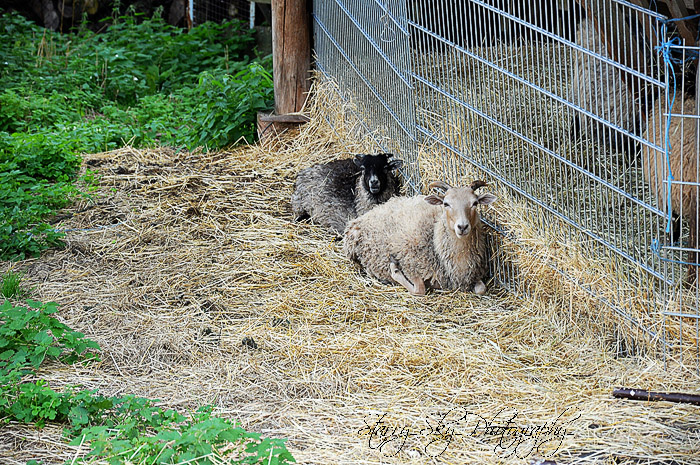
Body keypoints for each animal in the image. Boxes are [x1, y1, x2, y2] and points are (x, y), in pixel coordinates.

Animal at [343, 180, 497, 296]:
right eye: (446, 204)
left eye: (475, 203)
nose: (462, 226)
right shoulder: (411, 265)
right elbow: (419, 290)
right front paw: (395, 269)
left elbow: (482, 289)